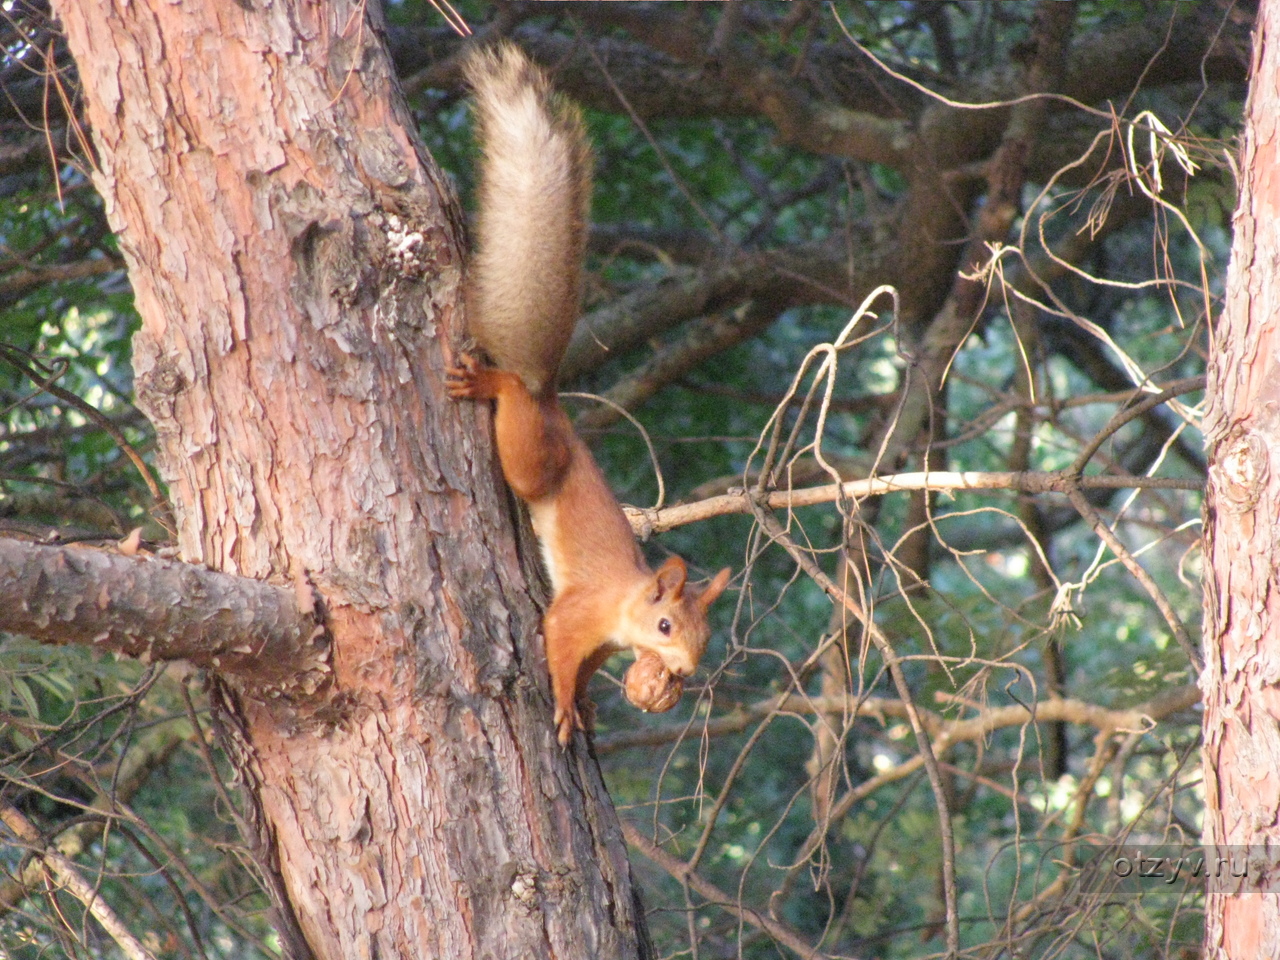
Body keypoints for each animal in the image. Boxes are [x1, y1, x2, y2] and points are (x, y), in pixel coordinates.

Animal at [448, 43, 732, 752]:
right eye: (666, 627)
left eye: (708, 635)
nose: (684, 671)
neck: (626, 605)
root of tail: (548, 398)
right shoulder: (576, 613)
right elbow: (555, 648)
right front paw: (563, 706)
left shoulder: (602, 644)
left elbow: (585, 669)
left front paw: (586, 701)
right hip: (530, 454)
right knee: (514, 416)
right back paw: (494, 383)